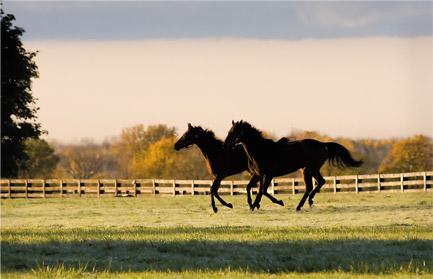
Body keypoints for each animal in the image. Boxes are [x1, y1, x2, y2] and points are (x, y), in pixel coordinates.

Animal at [223, 121, 362, 211]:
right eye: (229, 131)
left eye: (235, 132)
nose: (225, 145)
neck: (260, 150)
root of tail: (323, 145)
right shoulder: (258, 175)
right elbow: (250, 188)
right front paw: (253, 205)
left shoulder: (268, 174)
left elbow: (263, 191)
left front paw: (279, 202)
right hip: (305, 170)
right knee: (310, 186)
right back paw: (301, 205)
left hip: (312, 168)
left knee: (319, 182)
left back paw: (308, 202)